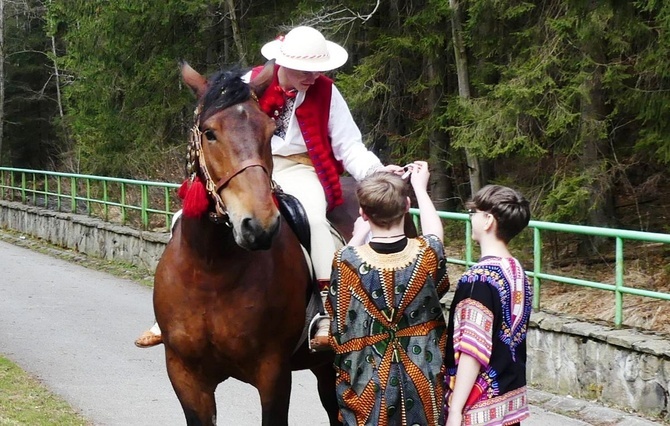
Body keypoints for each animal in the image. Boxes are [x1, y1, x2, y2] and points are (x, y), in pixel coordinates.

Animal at [155, 60, 344, 426]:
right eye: (210, 133)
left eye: (269, 132)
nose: (259, 225)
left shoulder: (273, 374)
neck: (210, 271)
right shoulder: (185, 375)